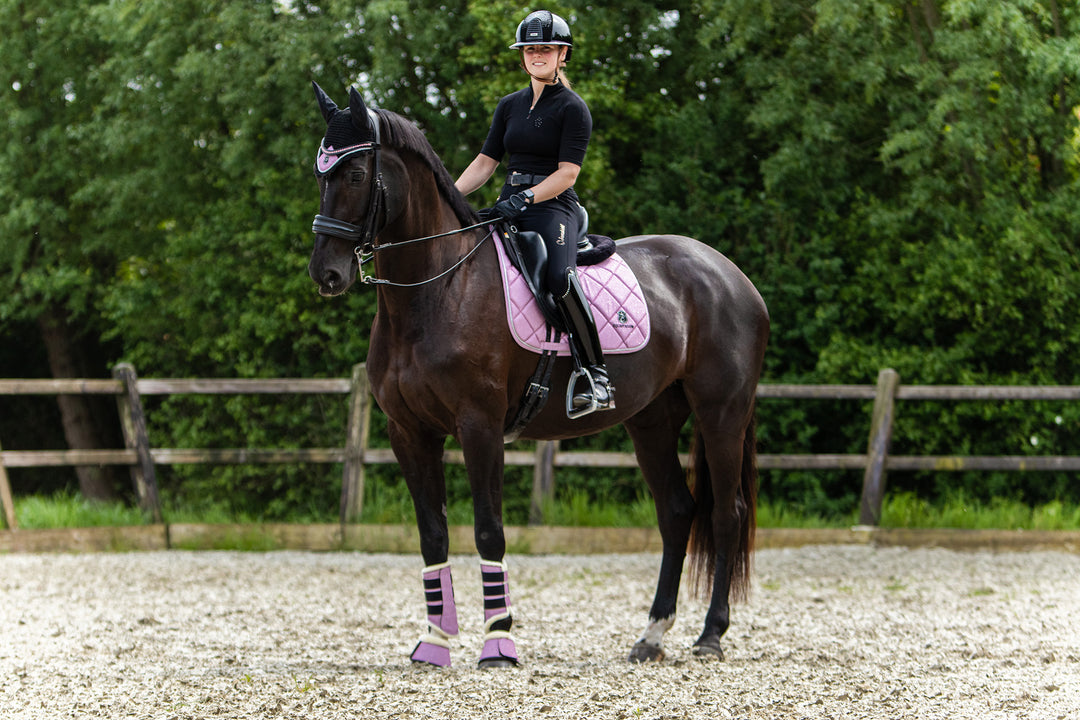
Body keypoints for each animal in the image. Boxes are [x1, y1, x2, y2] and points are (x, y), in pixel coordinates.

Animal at [308, 85, 773, 669]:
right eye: (320, 173)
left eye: (353, 174)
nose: (326, 273)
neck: (438, 290)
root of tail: (732, 275)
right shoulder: (409, 433)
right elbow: (433, 535)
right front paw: (435, 644)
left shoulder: (480, 427)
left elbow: (488, 531)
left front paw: (498, 645)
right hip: (652, 421)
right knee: (676, 512)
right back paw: (651, 635)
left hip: (721, 413)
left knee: (727, 513)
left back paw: (711, 634)